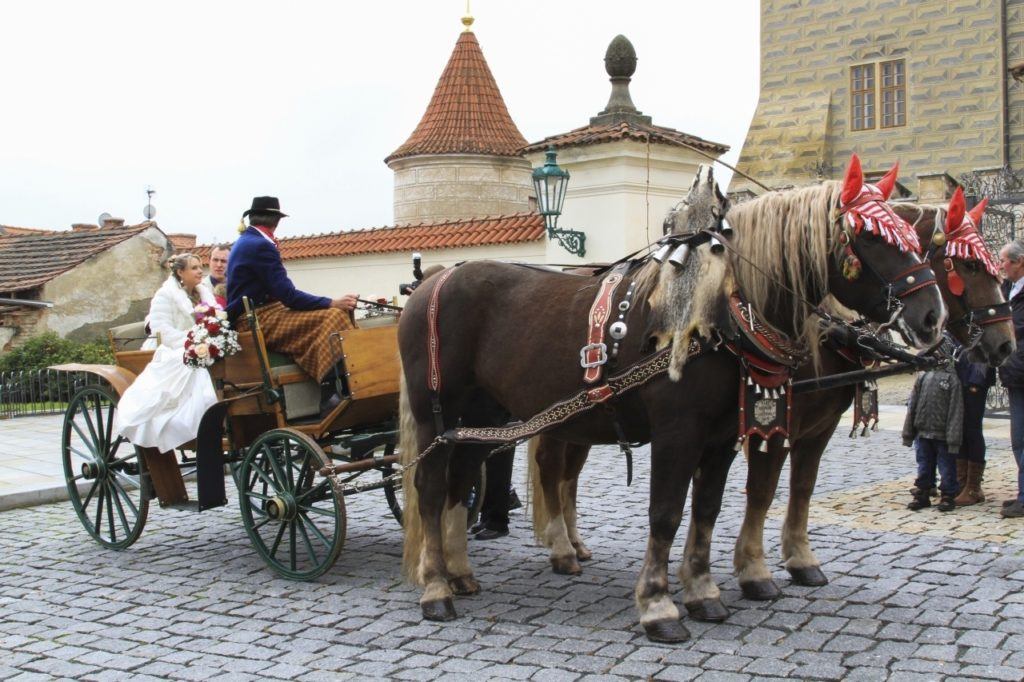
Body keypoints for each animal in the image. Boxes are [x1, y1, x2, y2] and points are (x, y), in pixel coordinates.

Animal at [398, 155, 945, 643]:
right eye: (872, 237)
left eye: (914, 237)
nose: (931, 316)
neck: (724, 314)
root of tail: (432, 280)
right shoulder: (678, 433)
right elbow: (666, 512)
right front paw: (658, 605)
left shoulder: (724, 438)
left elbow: (707, 509)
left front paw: (704, 592)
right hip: (435, 415)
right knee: (431, 487)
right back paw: (436, 588)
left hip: (481, 415)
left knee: (462, 481)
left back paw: (460, 573)